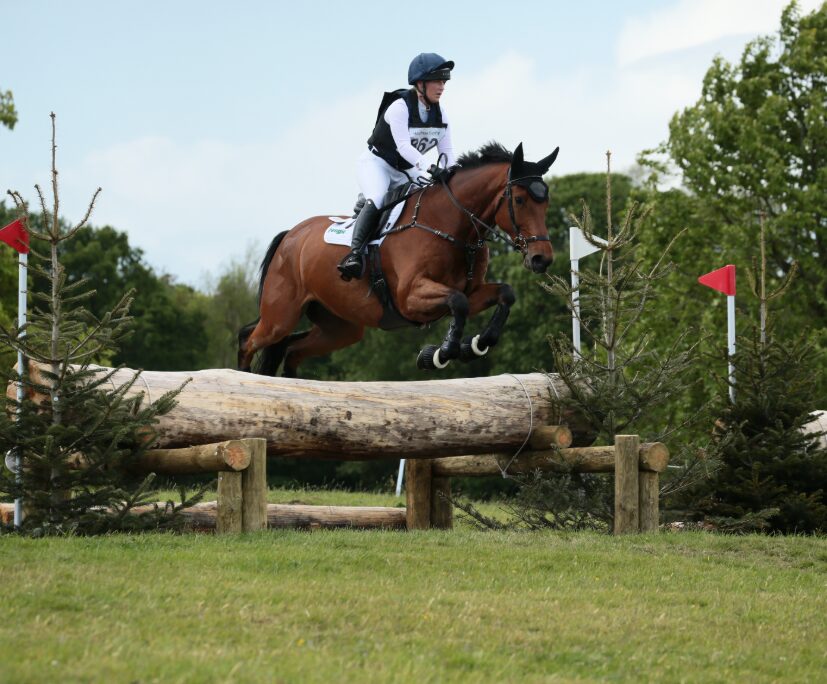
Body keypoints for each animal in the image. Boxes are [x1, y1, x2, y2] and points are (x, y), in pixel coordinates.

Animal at [237, 141, 559, 377]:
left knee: (292, 351)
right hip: (281, 315)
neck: (451, 226)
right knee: (248, 338)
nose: (541, 259)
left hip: (340, 327)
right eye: (519, 200)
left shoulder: (473, 290)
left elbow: (505, 293)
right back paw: (241, 377)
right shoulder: (410, 298)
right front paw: (439, 354)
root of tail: (291, 235)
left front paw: (477, 344)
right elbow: (458, 303)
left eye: (546, 202)